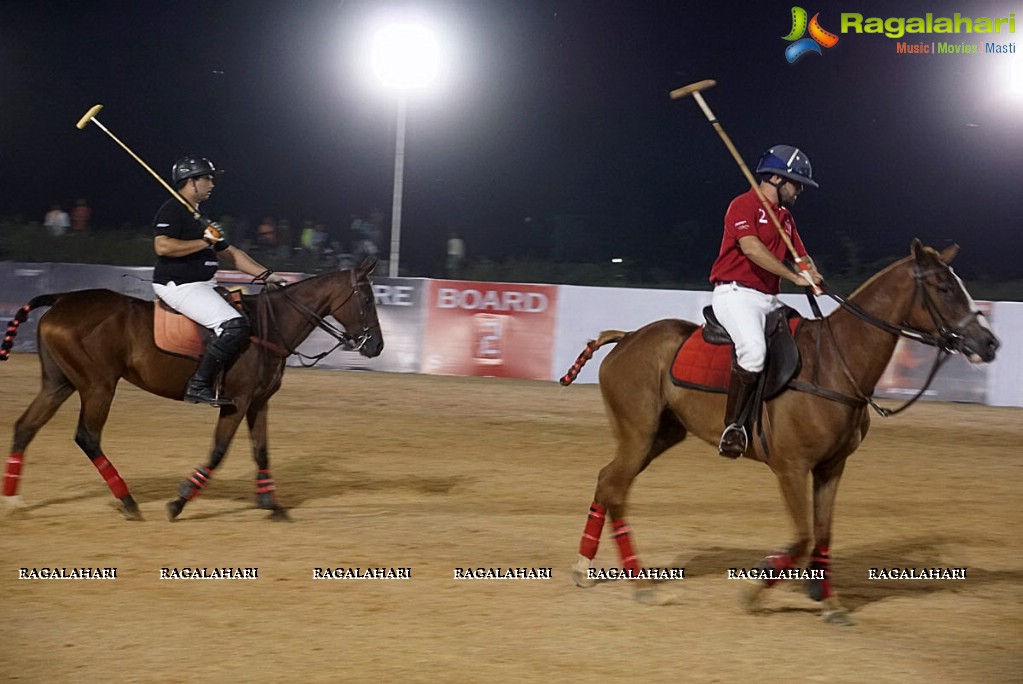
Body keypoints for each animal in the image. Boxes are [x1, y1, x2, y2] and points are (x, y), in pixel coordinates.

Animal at [0, 258, 384, 519]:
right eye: (367, 298)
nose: (376, 346)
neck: (269, 326)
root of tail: (62, 299)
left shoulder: (259, 401)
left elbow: (261, 451)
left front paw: (273, 505)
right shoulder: (237, 400)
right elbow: (218, 451)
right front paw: (179, 500)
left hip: (59, 383)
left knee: (25, 427)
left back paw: (13, 500)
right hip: (98, 385)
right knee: (87, 437)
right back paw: (128, 501)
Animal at [560, 240, 998, 625]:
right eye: (944, 288)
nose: (990, 343)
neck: (836, 363)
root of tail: (627, 337)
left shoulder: (831, 467)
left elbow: (823, 534)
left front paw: (831, 604)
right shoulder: (791, 466)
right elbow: (802, 536)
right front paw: (756, 588)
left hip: (661, 435)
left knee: (608, 482)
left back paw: (591, 569)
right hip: (638, 431)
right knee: (617, 489)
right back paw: (638, 584)